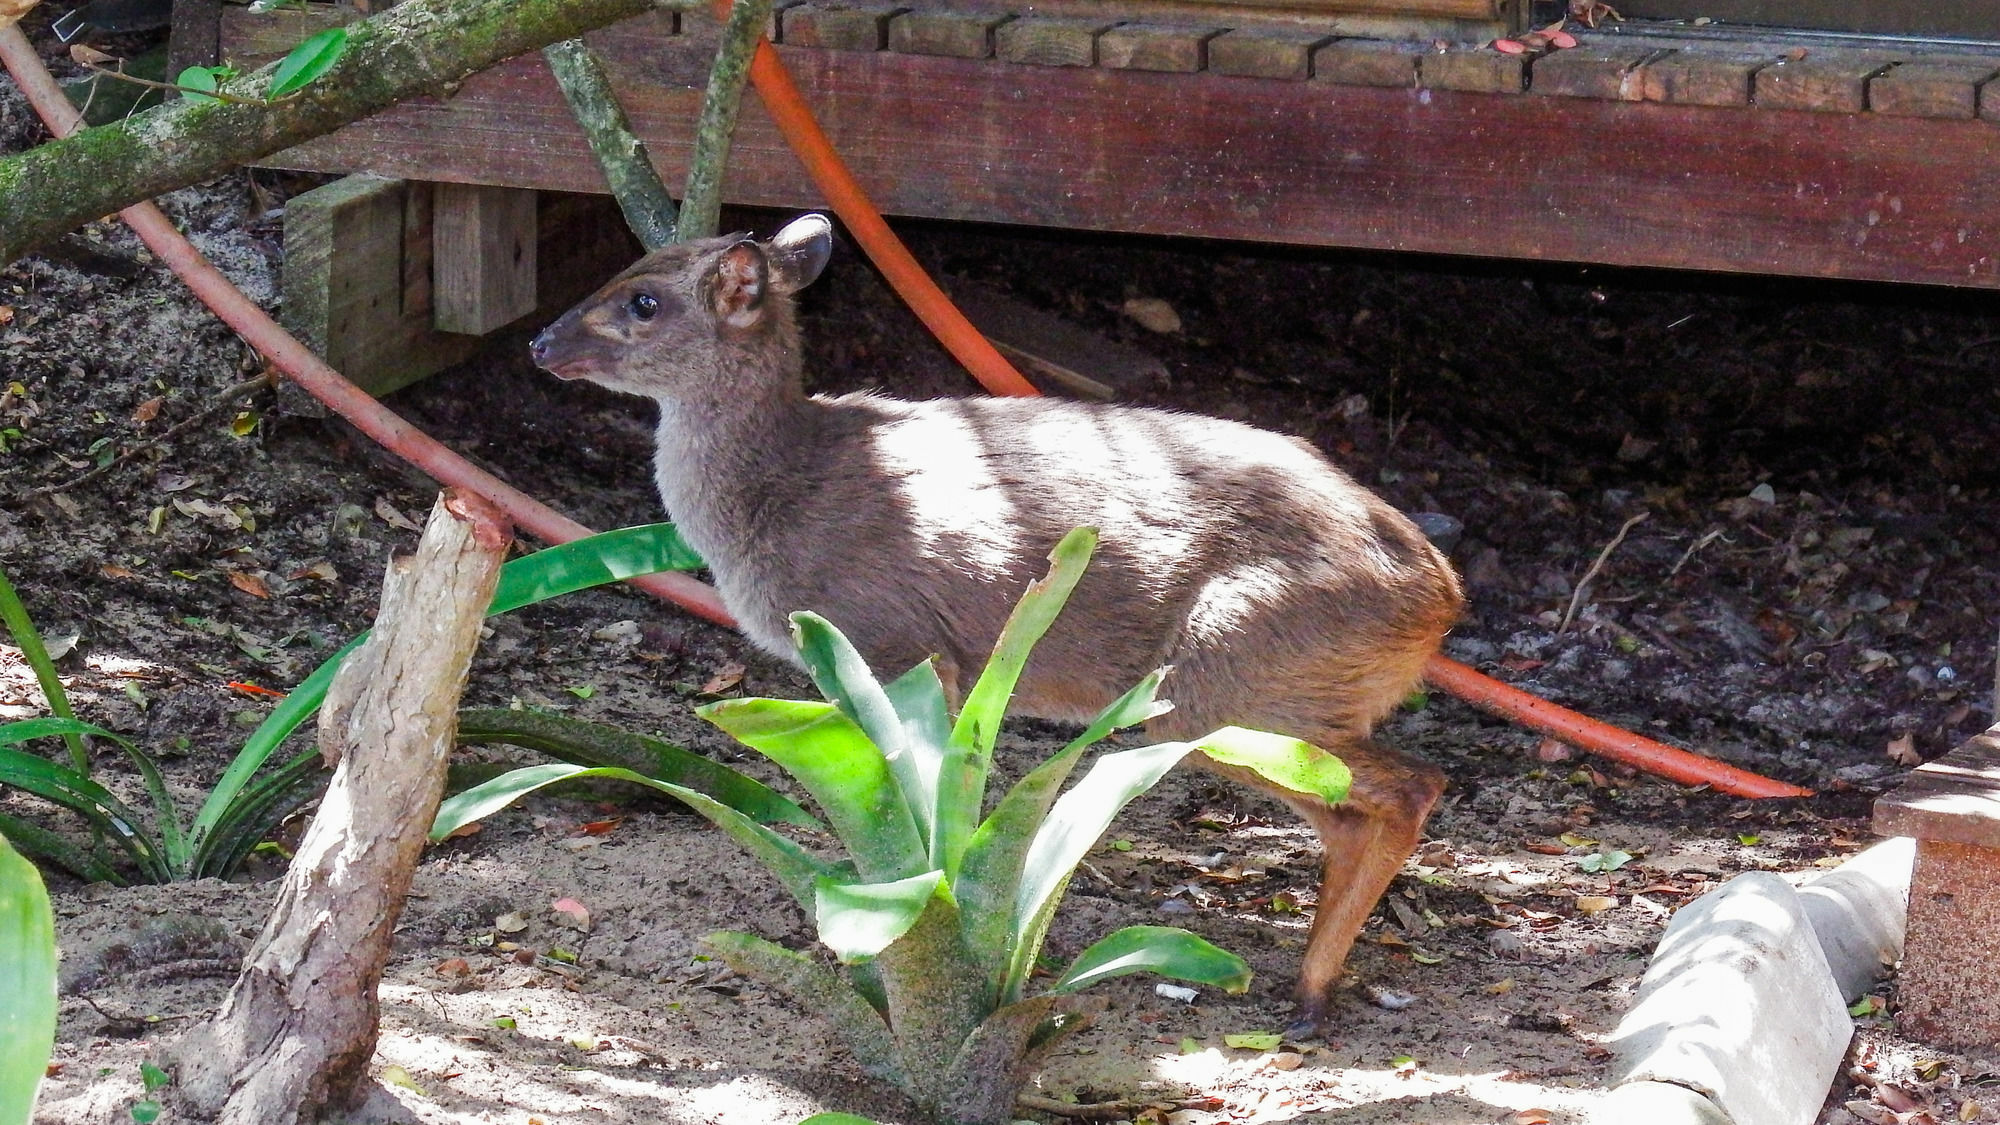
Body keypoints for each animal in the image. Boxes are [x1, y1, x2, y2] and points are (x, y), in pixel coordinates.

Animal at [532, 212, 1464, 1024]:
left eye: (643, 301)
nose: (541, 343)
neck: (784, 495)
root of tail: (1442, 597)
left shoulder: (898, 639)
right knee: (1351, 811)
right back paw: (1310, 989)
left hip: (1237, 680)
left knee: (1414, 782)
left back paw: (1309, 992)